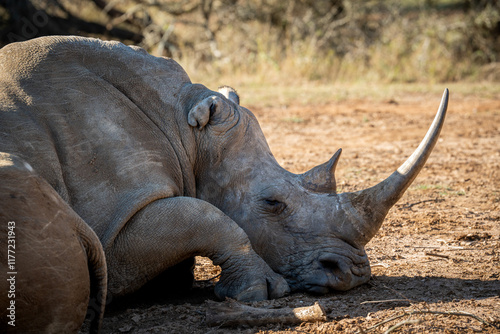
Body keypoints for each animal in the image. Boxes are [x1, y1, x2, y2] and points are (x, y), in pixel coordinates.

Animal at [0, 36, 446, 332]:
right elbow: (202, 215)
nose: (353, 274)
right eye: (272, 203)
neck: (184, 126)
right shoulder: (113, 222)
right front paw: (260, 291)